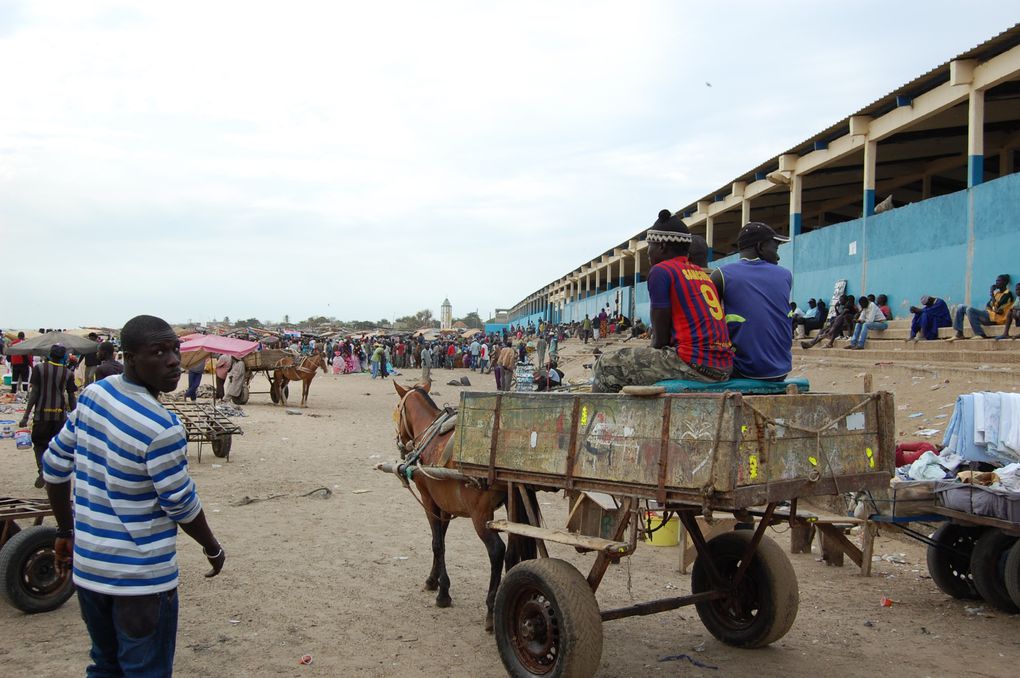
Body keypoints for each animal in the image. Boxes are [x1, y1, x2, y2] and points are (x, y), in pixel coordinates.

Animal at [389, 381, 534, 628]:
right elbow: (441, 540)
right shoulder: (445, 505)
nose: (400, 443)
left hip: (480, 514)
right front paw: (434, 580)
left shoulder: (429, 500)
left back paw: (491, 609)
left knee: (497, 551)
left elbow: (437, 544)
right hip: (513, 507)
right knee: (512, 552)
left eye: (398, 409)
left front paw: (443, 593)